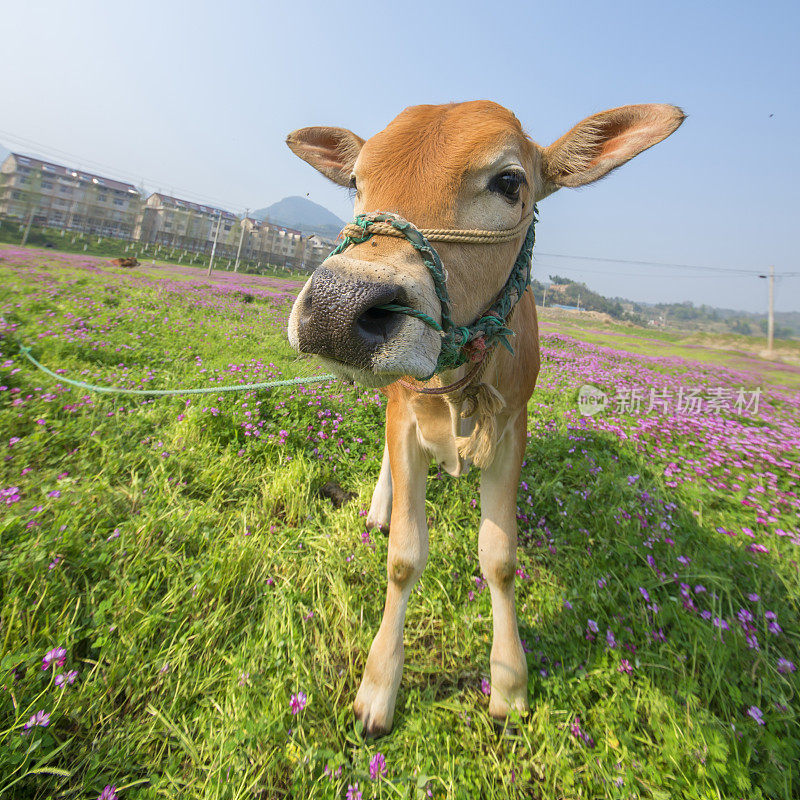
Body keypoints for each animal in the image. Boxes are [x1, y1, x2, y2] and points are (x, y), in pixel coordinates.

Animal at [284, 101, 684, 736]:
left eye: (510, 182)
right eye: (355, 181)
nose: (334, 309)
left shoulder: (512, 428)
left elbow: (499, 559)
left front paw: (510, 682)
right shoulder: (404, 411)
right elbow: (404, 556)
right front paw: (378, 687)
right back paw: (380, 507)